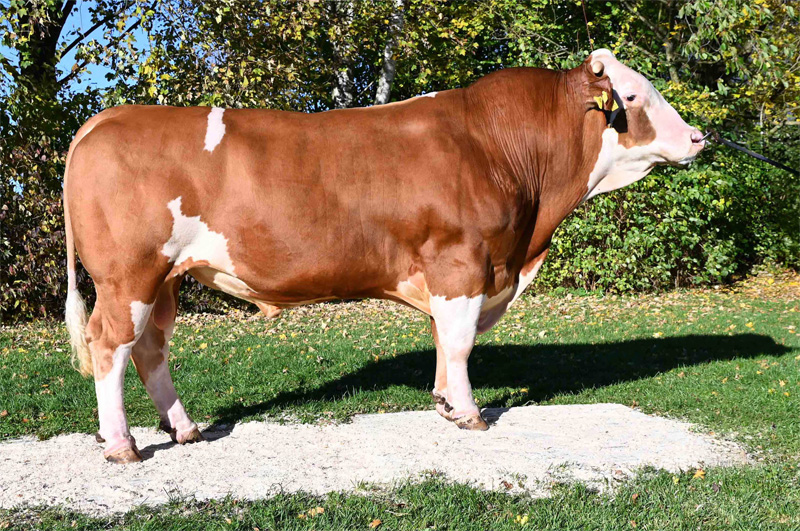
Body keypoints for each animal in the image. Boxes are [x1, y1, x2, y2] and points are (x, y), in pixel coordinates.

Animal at [63, 49, 705, 463]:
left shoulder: (457, 271)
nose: (700, 137)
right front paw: (470, 413)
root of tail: (112, 116)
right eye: (632, 96)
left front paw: (445, 403)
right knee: (111, 346)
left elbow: (445, 338)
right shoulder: (462, 262)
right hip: (129, 274)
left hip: (167, 278)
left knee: (150, 348)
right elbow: (461, 340)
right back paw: (122, 445)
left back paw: (185, 428)